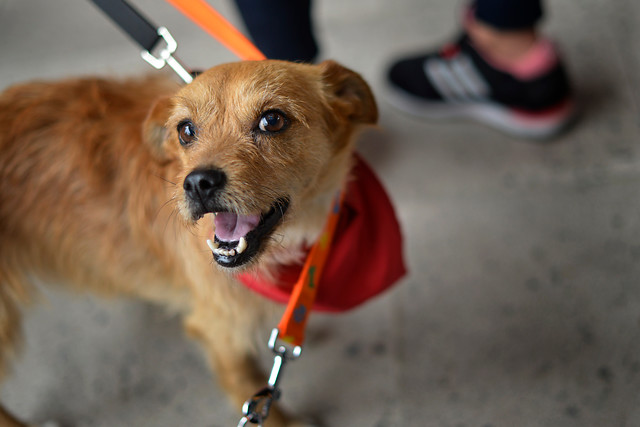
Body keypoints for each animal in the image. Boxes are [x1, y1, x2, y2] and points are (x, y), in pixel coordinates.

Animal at [0, 61, 376, 427]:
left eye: (272, 120)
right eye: (185, 130)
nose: (197, 183)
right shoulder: (218, 330)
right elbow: (249, 387)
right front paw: (285, 422)